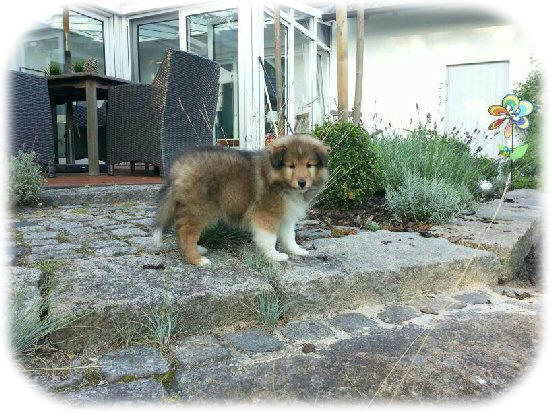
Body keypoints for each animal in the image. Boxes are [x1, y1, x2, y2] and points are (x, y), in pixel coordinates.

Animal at [153, 134, 329, 266]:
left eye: (309, 165)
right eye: (290, 166)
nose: (302, 183)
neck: (279, 180)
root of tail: (178, 166)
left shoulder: (285, 215)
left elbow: (289, 235)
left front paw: (296, 250)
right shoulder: (266, 214)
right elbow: (269, 237)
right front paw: (274, 255)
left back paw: (196, 250)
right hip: (199, 208)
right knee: (185, 231)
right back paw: (196, 259)